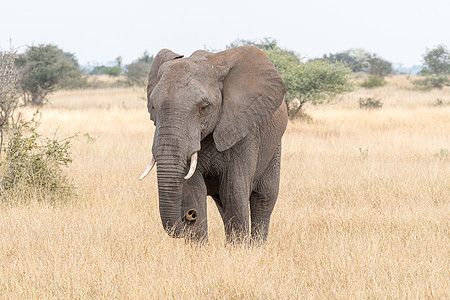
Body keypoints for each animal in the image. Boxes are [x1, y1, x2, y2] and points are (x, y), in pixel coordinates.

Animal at [139, 45, 288, 243]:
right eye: (153, 107)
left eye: (204, 107)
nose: (189, 215)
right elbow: (193, 190)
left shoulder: (244, 131)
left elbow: (233, 190)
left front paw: (239, 248)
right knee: (222, 202)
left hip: (274, 146)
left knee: (264, 197)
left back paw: (257, 245)